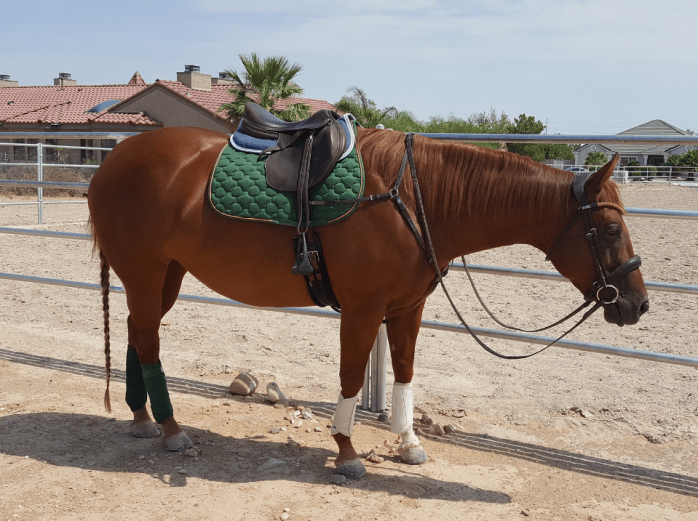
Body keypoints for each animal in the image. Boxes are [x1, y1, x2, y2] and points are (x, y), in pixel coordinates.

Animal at [88, 125, 649, 479]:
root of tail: (111, 161)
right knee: (148, 342)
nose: (637, 304)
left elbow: (403, 373)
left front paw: (408, 444)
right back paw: (170, 429)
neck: (417, 199)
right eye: (610, 229)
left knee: (138, 335)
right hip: (144, 274)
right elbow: (353, 378)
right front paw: (346, 451)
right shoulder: (362, 309)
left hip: (165, 276)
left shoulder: (406, 308)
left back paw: (142, 419)